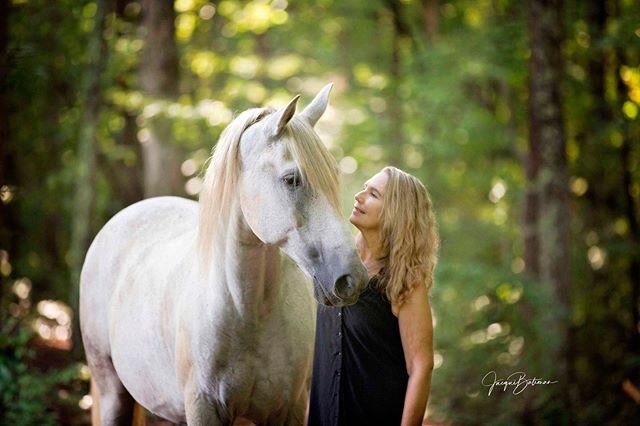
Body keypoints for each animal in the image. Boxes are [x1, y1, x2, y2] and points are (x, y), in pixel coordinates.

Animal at [80, 84, 368, 426]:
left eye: (333, 176)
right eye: (291, 179)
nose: (351, 277)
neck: (247, 309)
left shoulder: (291, 407)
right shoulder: (203, 407)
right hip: (111, 390)